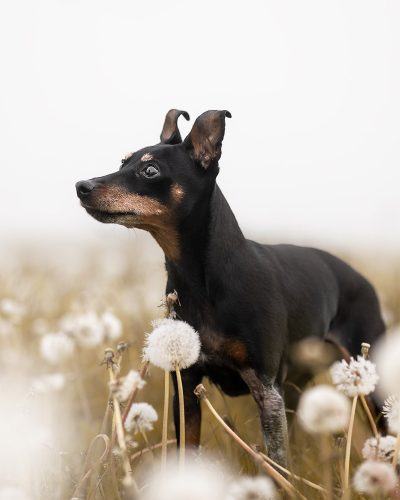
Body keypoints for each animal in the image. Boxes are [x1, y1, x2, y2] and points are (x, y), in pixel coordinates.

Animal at [75, 108, 384, 464]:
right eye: (122, 161)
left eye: (150, 170)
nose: (81, 186)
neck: (202, 281)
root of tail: (363, 279)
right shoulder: (187, 387)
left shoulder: (266, 392)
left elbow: (278, 464)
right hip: (296, 384)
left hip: (368, 383)